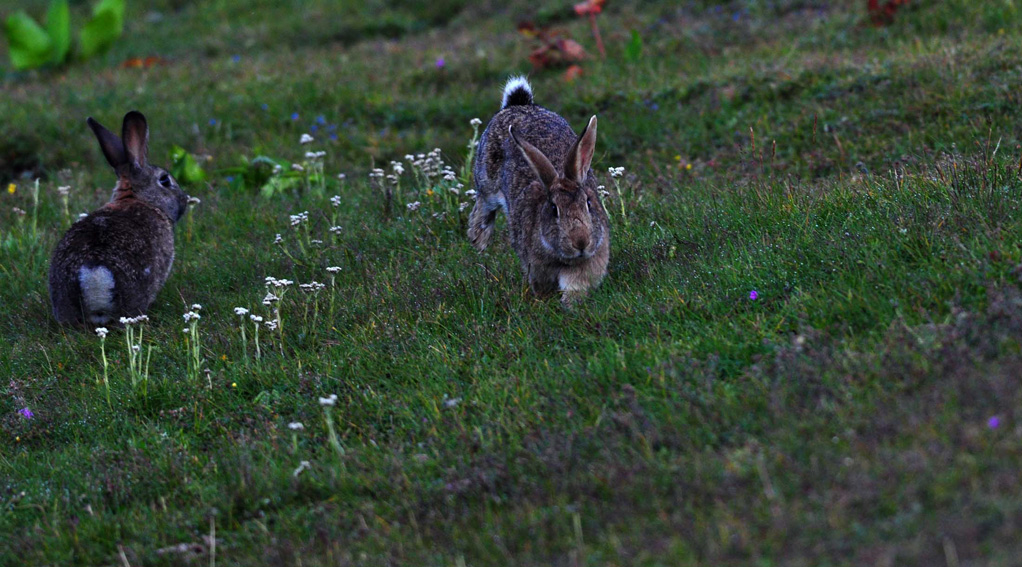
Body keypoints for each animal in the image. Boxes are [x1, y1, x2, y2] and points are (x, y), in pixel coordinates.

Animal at [468, 76, 609, 306]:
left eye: (588, 203)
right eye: (554, 209)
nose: (581, 242)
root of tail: (518, 104)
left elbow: (575, 284)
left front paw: (570, 304)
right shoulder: (535, 266)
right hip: (486, 180)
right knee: (482, 206)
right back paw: (479, 240)